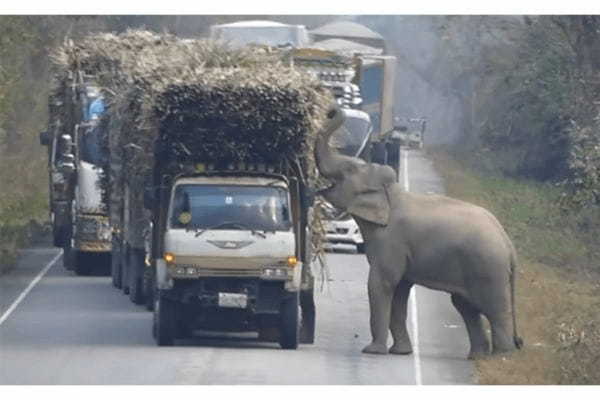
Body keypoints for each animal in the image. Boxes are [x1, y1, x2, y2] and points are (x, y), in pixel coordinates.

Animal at [316, 104, 524, 358]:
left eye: (348, 169)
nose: (331, 109)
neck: (392, 193)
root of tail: (509, 245)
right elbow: (400, 292)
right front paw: (400, 352)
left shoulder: (391, 241)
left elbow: (382, 283)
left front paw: (373, 351)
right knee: (465, 307)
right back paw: (477, 357)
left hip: (488, 268)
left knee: (494, 311)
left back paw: (501, 357)